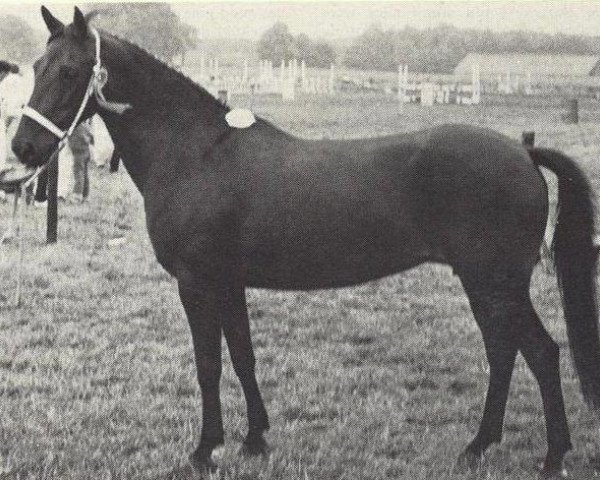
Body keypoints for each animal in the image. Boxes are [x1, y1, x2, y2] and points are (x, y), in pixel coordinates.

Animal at [10, 6, 600, 476]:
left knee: (536, 354)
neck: (198, 152)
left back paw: (545, 455)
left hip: (494, 283)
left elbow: (209, 365)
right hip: (492, 286)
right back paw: (483, 447)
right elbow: (243, 355)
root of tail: (523, 151)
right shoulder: (228, 282)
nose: (23, 146)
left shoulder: (197, 283)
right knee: (511, 353)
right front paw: (254, 439)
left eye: (68, 70)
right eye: (36, 68)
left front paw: (204, 450)